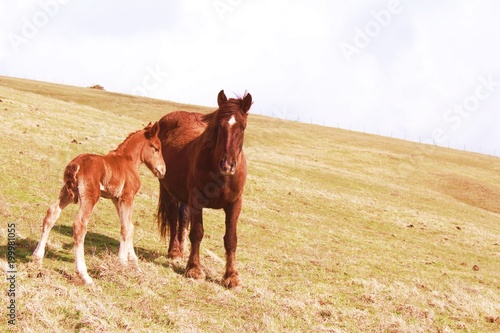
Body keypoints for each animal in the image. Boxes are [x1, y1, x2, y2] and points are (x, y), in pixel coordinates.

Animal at [32, 121, 166, 282]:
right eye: (156, 148)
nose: (163, 170)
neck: (128, 161)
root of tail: (76, 165)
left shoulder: (116, 199)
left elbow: (130, 226)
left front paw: (134, 264)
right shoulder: (127, 197)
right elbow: (126, 228)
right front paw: (123, 263)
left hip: (67, 194)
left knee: (51, 214)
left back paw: (37, 258)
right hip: (90, 197)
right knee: (80, 225)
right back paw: (84, 275)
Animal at [157, 89, 252, 288]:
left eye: (242, 127)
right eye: (219, 126)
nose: (227, 165)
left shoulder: (235, 204)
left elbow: (231, 239)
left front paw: (231, 276)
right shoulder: (197, 201)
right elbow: (197, 233)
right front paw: (194, 269)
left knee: (183, 219)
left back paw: (182, 250)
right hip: (168, 191)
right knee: (173, 218)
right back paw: (174, 251)